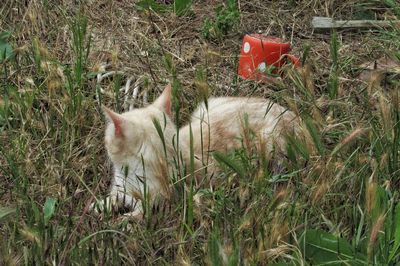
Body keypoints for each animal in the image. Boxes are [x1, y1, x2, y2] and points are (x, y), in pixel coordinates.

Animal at [92, 84, 298, 217]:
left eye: (107, 136)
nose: (105, 142)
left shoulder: (155, 204)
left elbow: (135, 218)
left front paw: (120, 223)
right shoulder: (121, 190)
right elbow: (112, 198)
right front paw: (99, 206)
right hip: (204, 108)